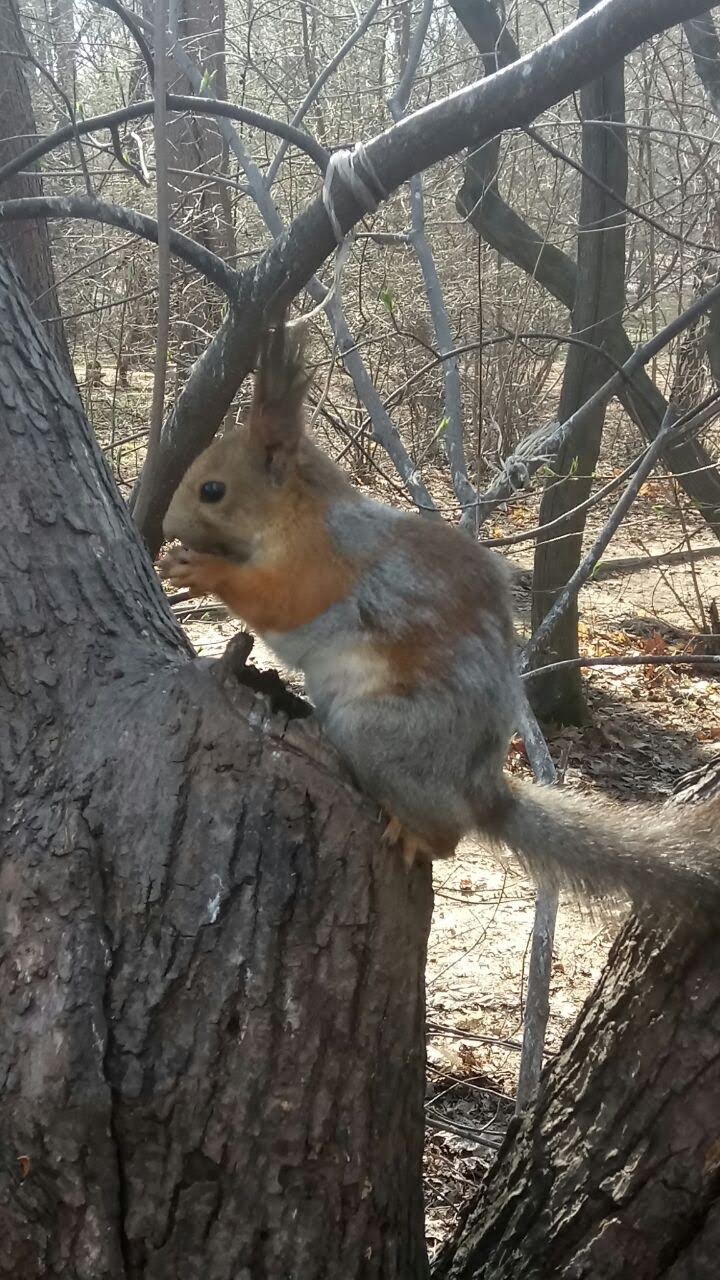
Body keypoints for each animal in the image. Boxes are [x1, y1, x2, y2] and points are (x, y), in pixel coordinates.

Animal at [159, 318, 720, 913]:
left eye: (212, 490)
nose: (167, 525)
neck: (295, 515)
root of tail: (481, 786)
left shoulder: (321, 564)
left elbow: (279, 599)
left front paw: (199, 570)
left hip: (387, 737)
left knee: (447, 830)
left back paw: (418, 835)